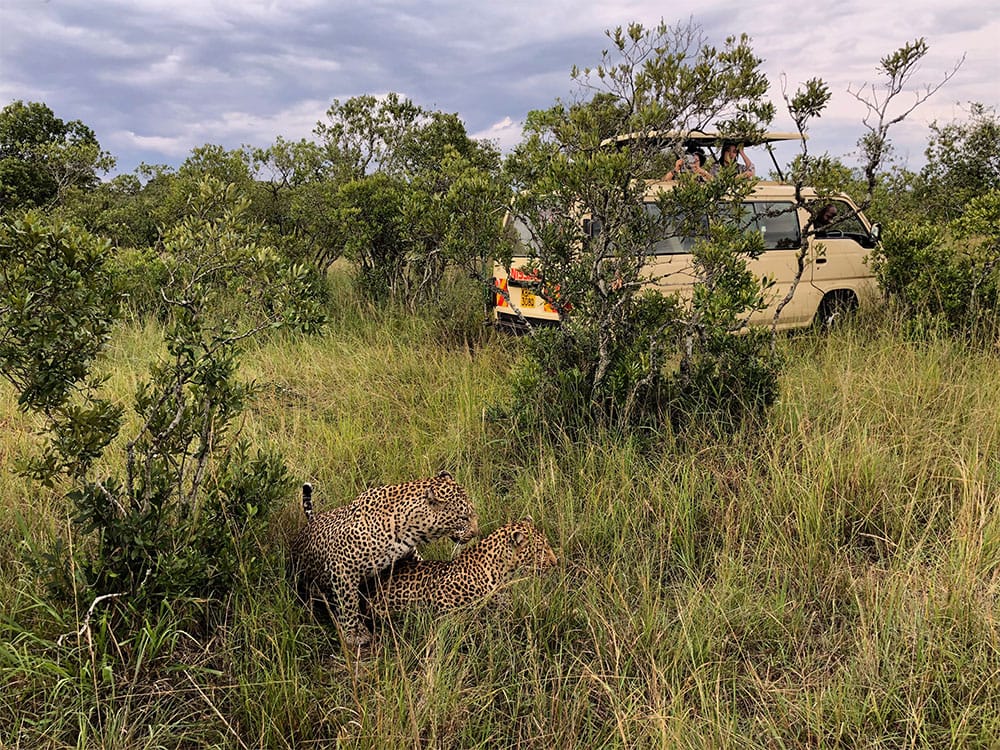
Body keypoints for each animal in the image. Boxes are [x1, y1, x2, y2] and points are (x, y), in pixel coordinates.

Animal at [288, 472, 478, 648]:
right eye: (463, 518)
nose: (475, 532)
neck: (406, 529)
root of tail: (312, 521)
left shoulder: (409, 555)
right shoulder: (342, 566)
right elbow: (348, 601)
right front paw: (355, 633)